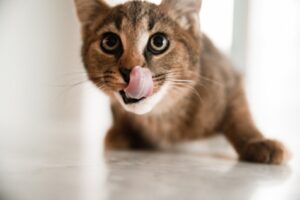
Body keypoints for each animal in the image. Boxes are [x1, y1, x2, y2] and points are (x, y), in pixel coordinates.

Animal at [74, 0, 288, 164]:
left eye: (158, 42)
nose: (129, 71)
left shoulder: (229, 78)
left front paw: (257, 142)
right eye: (110, 42)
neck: (162, 115)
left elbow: (240, 116)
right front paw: (122, 133)